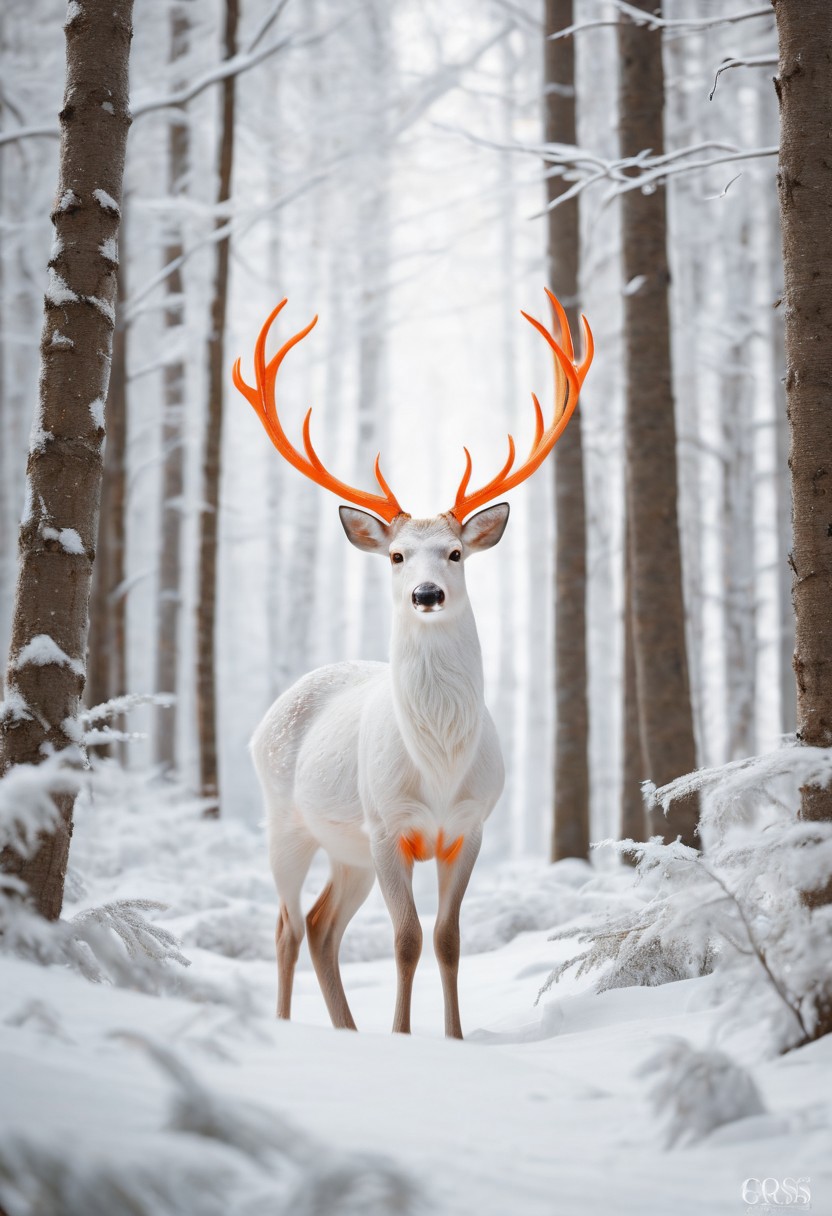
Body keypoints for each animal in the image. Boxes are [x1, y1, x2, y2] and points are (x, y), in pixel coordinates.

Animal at [233, 290, 592, 1038]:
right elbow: (405, 939)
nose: (427, 593)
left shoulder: (468, 827)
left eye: (455, 553)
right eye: (397, 555)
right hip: (288, 823)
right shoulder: (387, 825)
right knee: (286, 925)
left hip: (346, 851)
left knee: (321, 926)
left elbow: (448, 939)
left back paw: (346, 1029)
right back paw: (290, 1025)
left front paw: (451, 1037)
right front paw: (403, 1036)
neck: (438, 764)